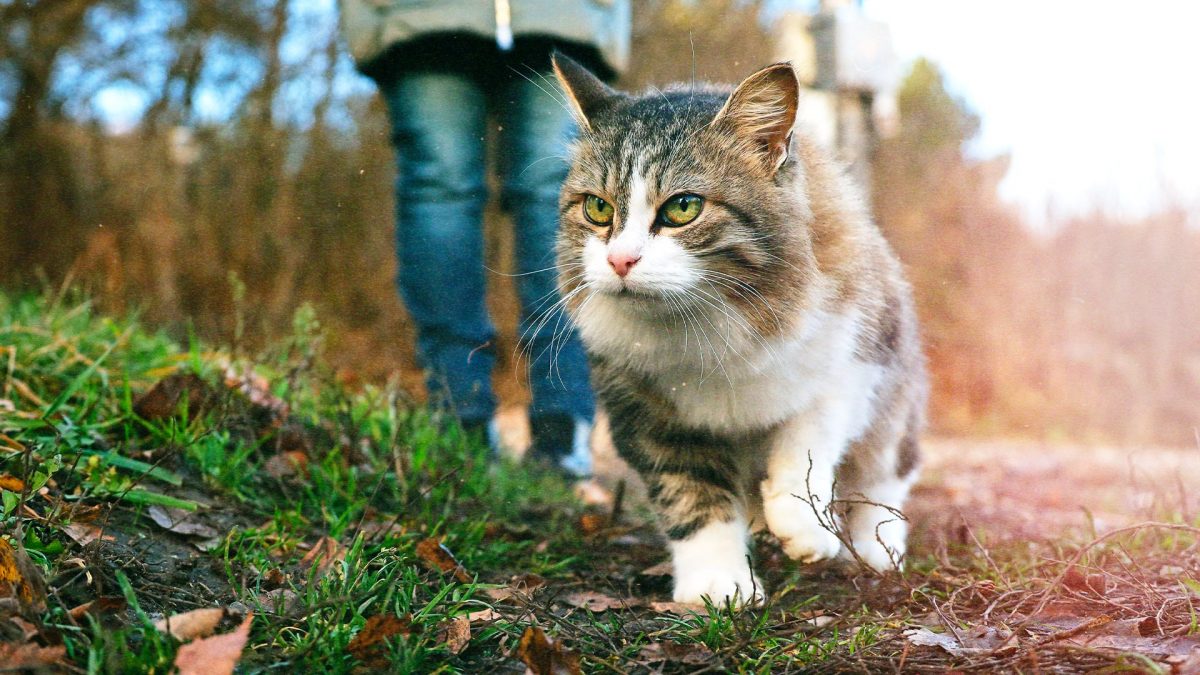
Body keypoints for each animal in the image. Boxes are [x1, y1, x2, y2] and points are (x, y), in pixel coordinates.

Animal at [549, 53, 926, 605]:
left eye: (683, 207)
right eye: (598, 208)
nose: (620, 260)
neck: (705, 321)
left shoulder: (853, 357)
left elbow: (808, 438)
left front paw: (803, 525)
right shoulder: (649, 414)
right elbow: (693, 499)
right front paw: (718, 583)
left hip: (895, 403)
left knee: (883, 478)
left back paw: (877, 552)